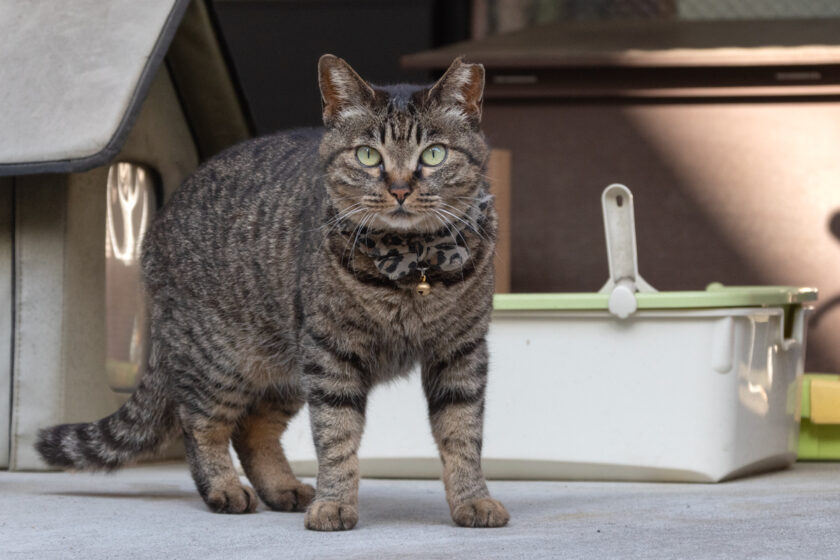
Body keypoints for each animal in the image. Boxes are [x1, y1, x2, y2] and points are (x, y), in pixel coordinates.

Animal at [36, 54, 508, 532]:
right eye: (368, 155)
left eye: (433, 154)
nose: (399, 188)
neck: (413, 266)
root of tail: (155, 226)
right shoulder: (331, 355)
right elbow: (336, 436)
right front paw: (335, 504)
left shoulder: (461, 353)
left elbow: (463, 434)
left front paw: (473, 500)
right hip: (219, 360)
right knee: (200, 424)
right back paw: (224, 489)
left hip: (285, 368)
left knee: (253, 430)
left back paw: (284, 488)